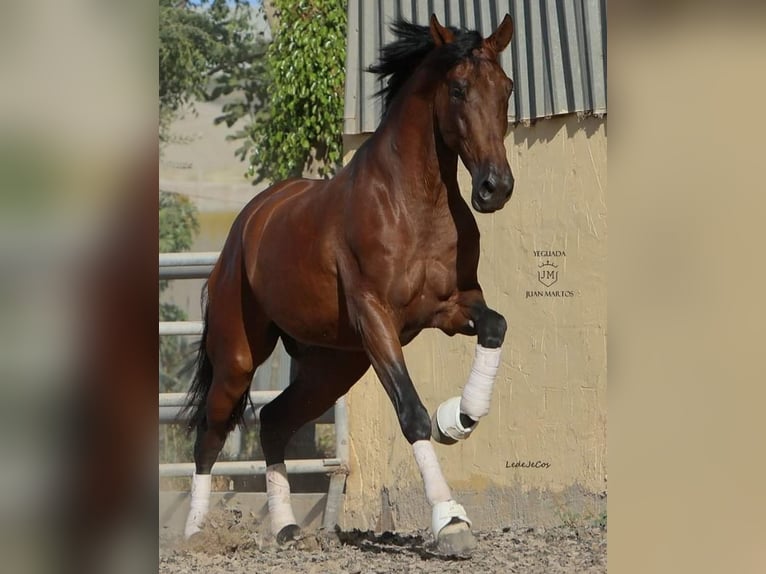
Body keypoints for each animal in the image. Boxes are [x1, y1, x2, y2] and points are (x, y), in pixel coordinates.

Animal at [182, 14, 516, 560]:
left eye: (506, 88)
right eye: (459, 89)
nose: (495, 188)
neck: (413, 203)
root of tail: (247, 224)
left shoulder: (451, 307)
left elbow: (496, 327)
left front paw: (459, 418)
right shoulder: (377, 319)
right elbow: (411, 412)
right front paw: (451, 522)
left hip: (334, 365)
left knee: (274, 420)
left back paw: (285, 527)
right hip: (239, 357)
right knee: (211, 432)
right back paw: (194, 533)